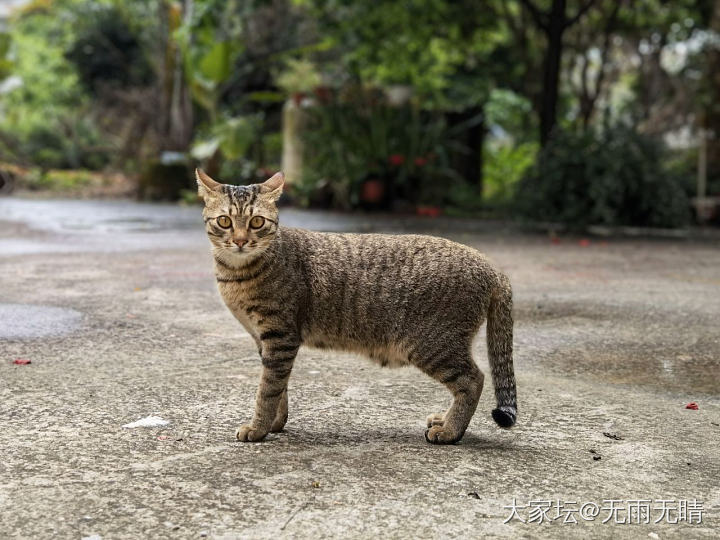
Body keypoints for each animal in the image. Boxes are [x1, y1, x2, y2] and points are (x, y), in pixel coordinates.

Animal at [197, 169, 516, 442]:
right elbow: (279, 389)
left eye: (257, 222)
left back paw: (450, 431)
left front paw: (258, 427)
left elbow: (267, 389)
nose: (240, 241)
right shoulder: (265, 340)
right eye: (225, 221)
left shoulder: (280, 336)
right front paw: (275, 423)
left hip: (432, 345)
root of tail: (489, 265)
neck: (236, 275)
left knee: (473, 380)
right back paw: (445, 420)